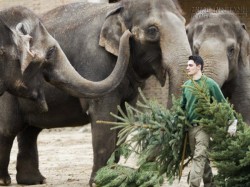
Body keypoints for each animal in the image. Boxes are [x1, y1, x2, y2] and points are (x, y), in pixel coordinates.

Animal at [0, 0, 191, 186]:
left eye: (184, 24)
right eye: (152, 30)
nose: (141, 168)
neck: (120, 7)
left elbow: (123, 117)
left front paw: (113, 178)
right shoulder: (97, 62)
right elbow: (104, 116)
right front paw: (100, 182)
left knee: (30, 131)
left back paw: (34, 181)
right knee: (9, 129)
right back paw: (7, 181)